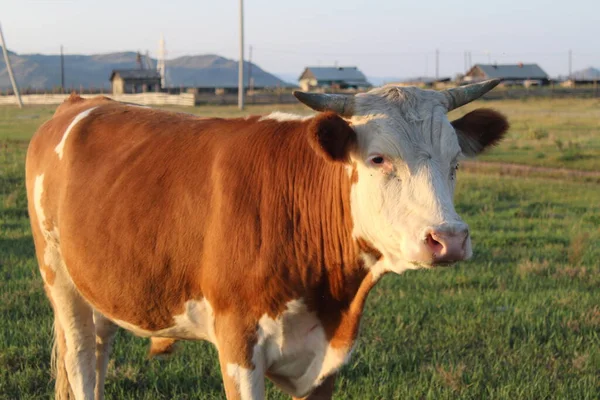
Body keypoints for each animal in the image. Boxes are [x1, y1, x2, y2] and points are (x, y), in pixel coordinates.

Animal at [25, 79, 508, 400]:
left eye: (456, 160)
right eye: (378, 158)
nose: (449, 239)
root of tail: (81, 102)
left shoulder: (326, 360)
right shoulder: (238, 343)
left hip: (103, 283)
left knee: (100, 349)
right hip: (59, 279)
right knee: (81, 360)